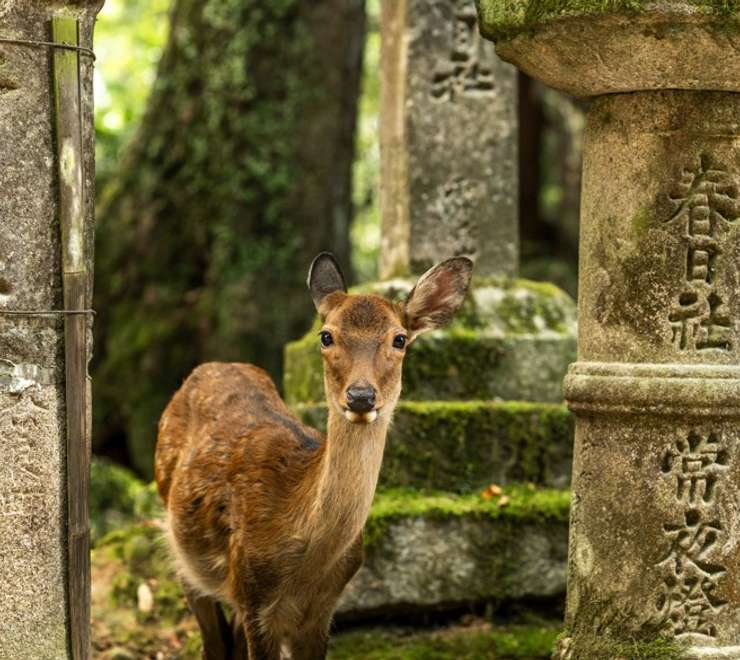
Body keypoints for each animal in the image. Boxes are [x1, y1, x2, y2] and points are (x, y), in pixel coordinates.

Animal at [154, 252, 473, 660]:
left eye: (399, 339)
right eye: (326, 336)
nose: (360, 396)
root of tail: (214, 365)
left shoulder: (321, 611)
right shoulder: (253, 594)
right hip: (180, 549)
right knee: (213, 643)